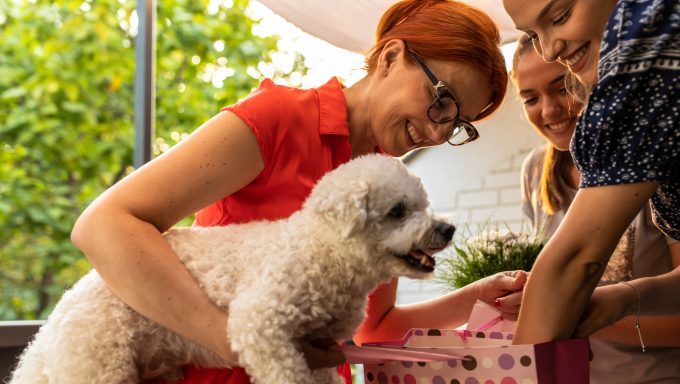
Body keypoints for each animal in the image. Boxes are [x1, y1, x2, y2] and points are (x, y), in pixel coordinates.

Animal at [9, 154, 452, 384]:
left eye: (425, 204)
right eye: (398, 210)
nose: (447, 228)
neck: (321, 251)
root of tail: (56, 319)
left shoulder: (321, 350)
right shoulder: (261, 326)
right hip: (97, 365)